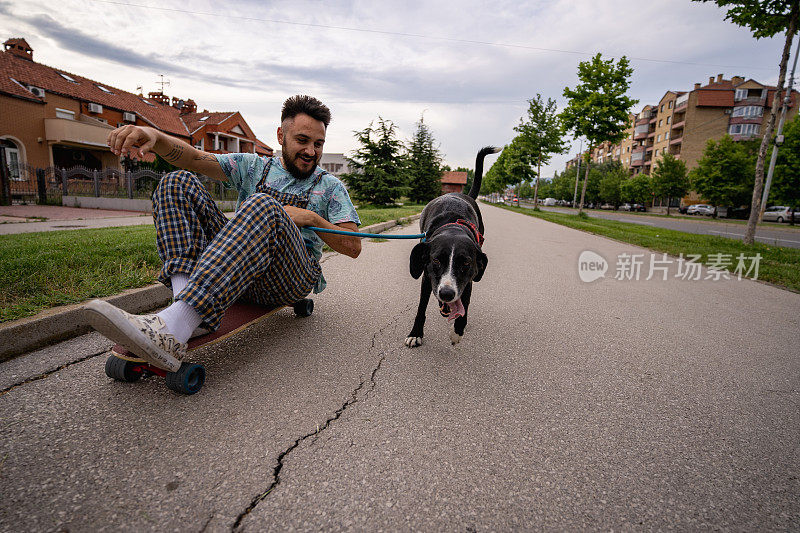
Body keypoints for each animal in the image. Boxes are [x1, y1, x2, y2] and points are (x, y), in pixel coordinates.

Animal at [406, 145, 500, 348]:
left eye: (465, 263)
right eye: (436, 260)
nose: (447, 293)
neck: (453, 228)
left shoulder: (468, 280)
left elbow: (465, 305)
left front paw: (457, 331)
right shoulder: (427, 278)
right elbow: (421, 308)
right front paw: (415, 333)